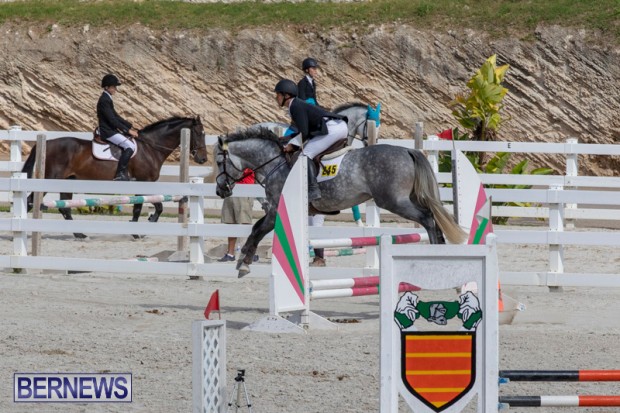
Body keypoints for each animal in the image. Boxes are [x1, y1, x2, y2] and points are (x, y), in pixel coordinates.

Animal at [21, 116, 208, 238]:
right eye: (200, 133)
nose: (203, 159)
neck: (150, 148)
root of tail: (46, 143)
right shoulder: (144, 182)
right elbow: (150, 207)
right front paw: (141, 228)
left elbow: (146, 207)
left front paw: (141, 226)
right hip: (49, 180)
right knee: (32, 201)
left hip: (66, 182)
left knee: (64, 207)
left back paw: (79, 233)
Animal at [214, 127, 466, 277]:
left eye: (218, 162)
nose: (220, 190)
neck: (274, 161)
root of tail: (407, 151)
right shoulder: (276, 209)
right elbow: (257, 228)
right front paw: (242, 260)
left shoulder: (276, 208)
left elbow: (257, 230)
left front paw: (244, 263)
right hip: (405, 199)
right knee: (433, 216)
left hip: (394, 201)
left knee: (427, 218)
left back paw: (435, 254)